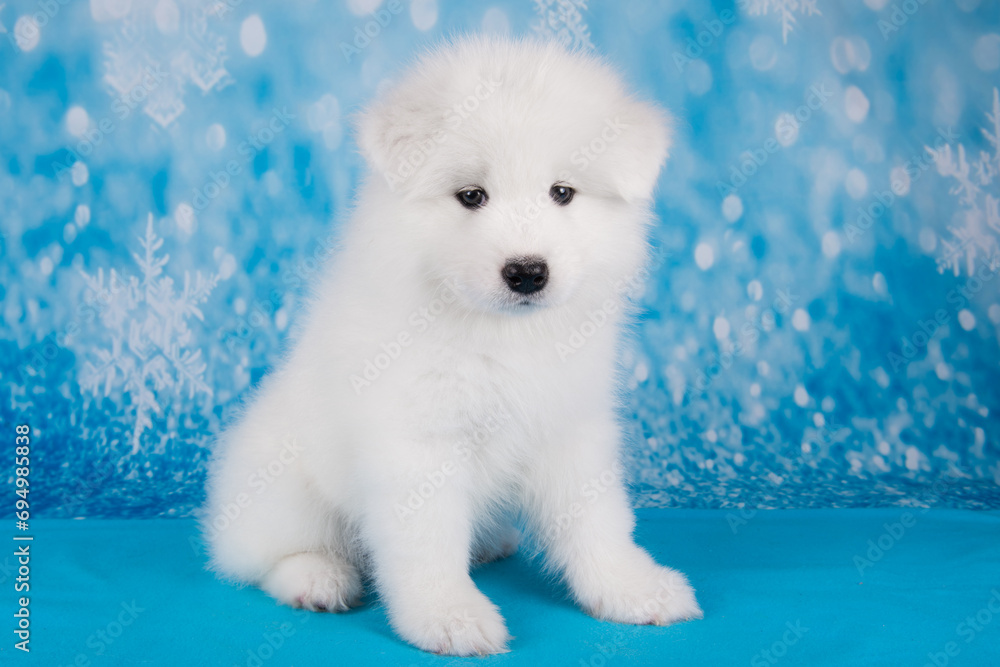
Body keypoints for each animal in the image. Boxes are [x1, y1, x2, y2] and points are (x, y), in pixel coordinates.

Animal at [203, 34, 704, 656]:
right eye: (471, 196)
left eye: (562, 192)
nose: (527, 272)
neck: (499, 335)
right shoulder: (419, 443)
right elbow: (427, 541)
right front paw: (448, 615)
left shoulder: (571, 426)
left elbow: (596, 520)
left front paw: (631, 588)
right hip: (284, 490)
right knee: (263, 555)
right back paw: (318, 577)